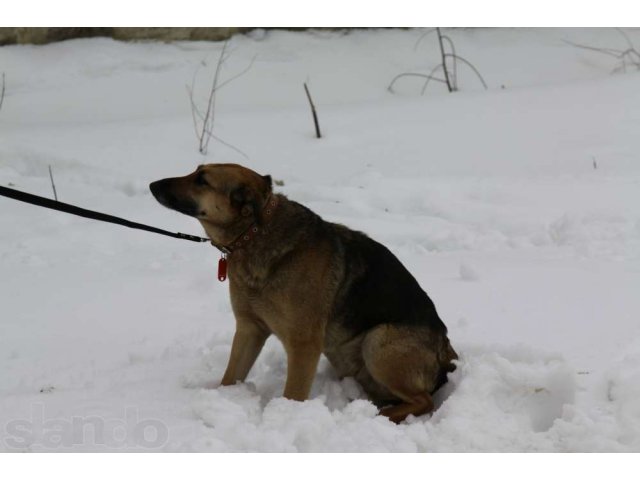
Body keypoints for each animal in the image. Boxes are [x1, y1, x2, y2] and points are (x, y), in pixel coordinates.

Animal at [150, 163, 458, 422]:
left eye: (202, 180)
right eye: (196, 171)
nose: (152, 184)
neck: (254, 234)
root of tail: (446, 353)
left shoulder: (303, 345)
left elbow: (293, 395)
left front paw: (286, 420)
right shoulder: (249, 328)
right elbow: (230, 376)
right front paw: (224, 398)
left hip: (378, 341)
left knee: (425, 401)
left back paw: (382, 416)